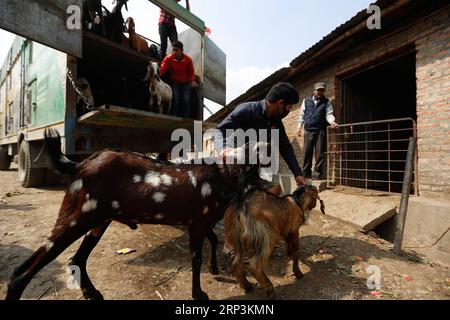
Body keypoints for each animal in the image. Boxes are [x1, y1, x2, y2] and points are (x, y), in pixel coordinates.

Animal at [5, 128, 262, 300]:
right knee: (21, 273)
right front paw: (198, 293)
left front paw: (214, 269)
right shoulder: (197, 223)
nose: (260, 144)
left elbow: (214, 238)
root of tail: (79, 165)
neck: (222, 173)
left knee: (75, 259)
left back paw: (93, 293)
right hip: (77, 218)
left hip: (97, 221)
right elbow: (195, 257)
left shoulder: (199, 222)